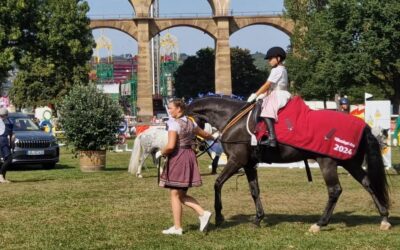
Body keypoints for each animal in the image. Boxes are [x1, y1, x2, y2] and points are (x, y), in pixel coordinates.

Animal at [188, 96, 390, 232]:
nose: (196, 146)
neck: (233, 118)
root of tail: (363, 126)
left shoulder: (237, 161)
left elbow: (217, 183)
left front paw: (219, 217)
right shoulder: (249, 165)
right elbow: (255, 191)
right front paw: (258, 218)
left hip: (328, 162)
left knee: (335, 190)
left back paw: (319, 223)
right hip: (349, 162)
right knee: (367, 183)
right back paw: (384, 218)